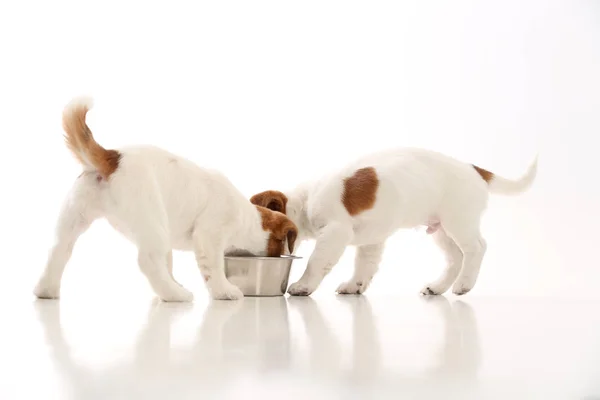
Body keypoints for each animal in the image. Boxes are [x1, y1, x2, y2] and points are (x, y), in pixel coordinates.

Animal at [34, 97, 296, 302]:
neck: (247, 217)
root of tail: (113, 157)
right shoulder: (209, 236)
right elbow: (214, 268)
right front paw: (224, 291)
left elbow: (168, 264)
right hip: (152, 222)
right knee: (147, 261)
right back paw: (175, 295)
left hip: (74, 218)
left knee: (58, 251)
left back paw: (46, 290)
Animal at [251, 148, 536, 296]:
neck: (305, 201)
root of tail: (473, 168)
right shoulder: (371, 242)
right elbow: (364, 266)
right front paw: (355, 286)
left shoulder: (334, 234)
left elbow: (316, 262)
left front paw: (303, 285)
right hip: (441, 231)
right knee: (455, 258)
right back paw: (438, 287)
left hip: (459, 221)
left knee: (476, 248)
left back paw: (464, 284)